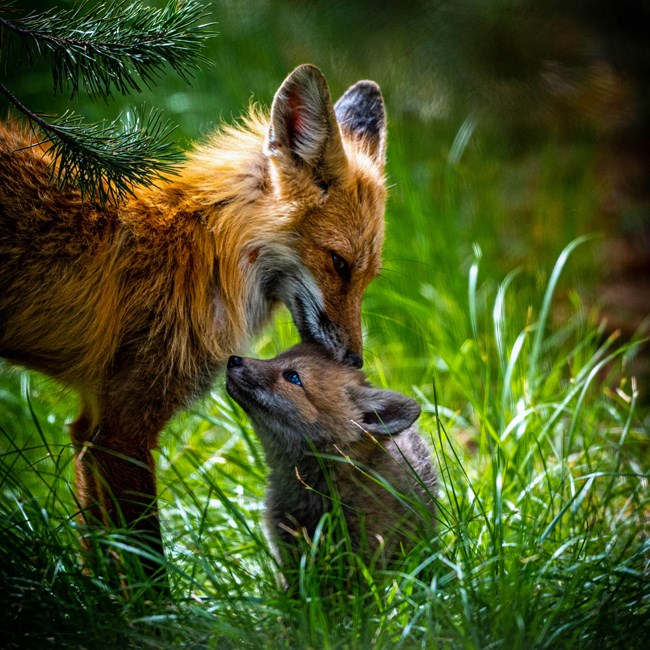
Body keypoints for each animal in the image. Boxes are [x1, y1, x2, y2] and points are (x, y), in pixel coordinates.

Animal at [0, 63, 384, 576]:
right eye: (340, 264)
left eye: (369, 275)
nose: (355, 362)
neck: (206, 252)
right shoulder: (123, 430)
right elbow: (148, 566)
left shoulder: (89, 425)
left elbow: (101, 559)